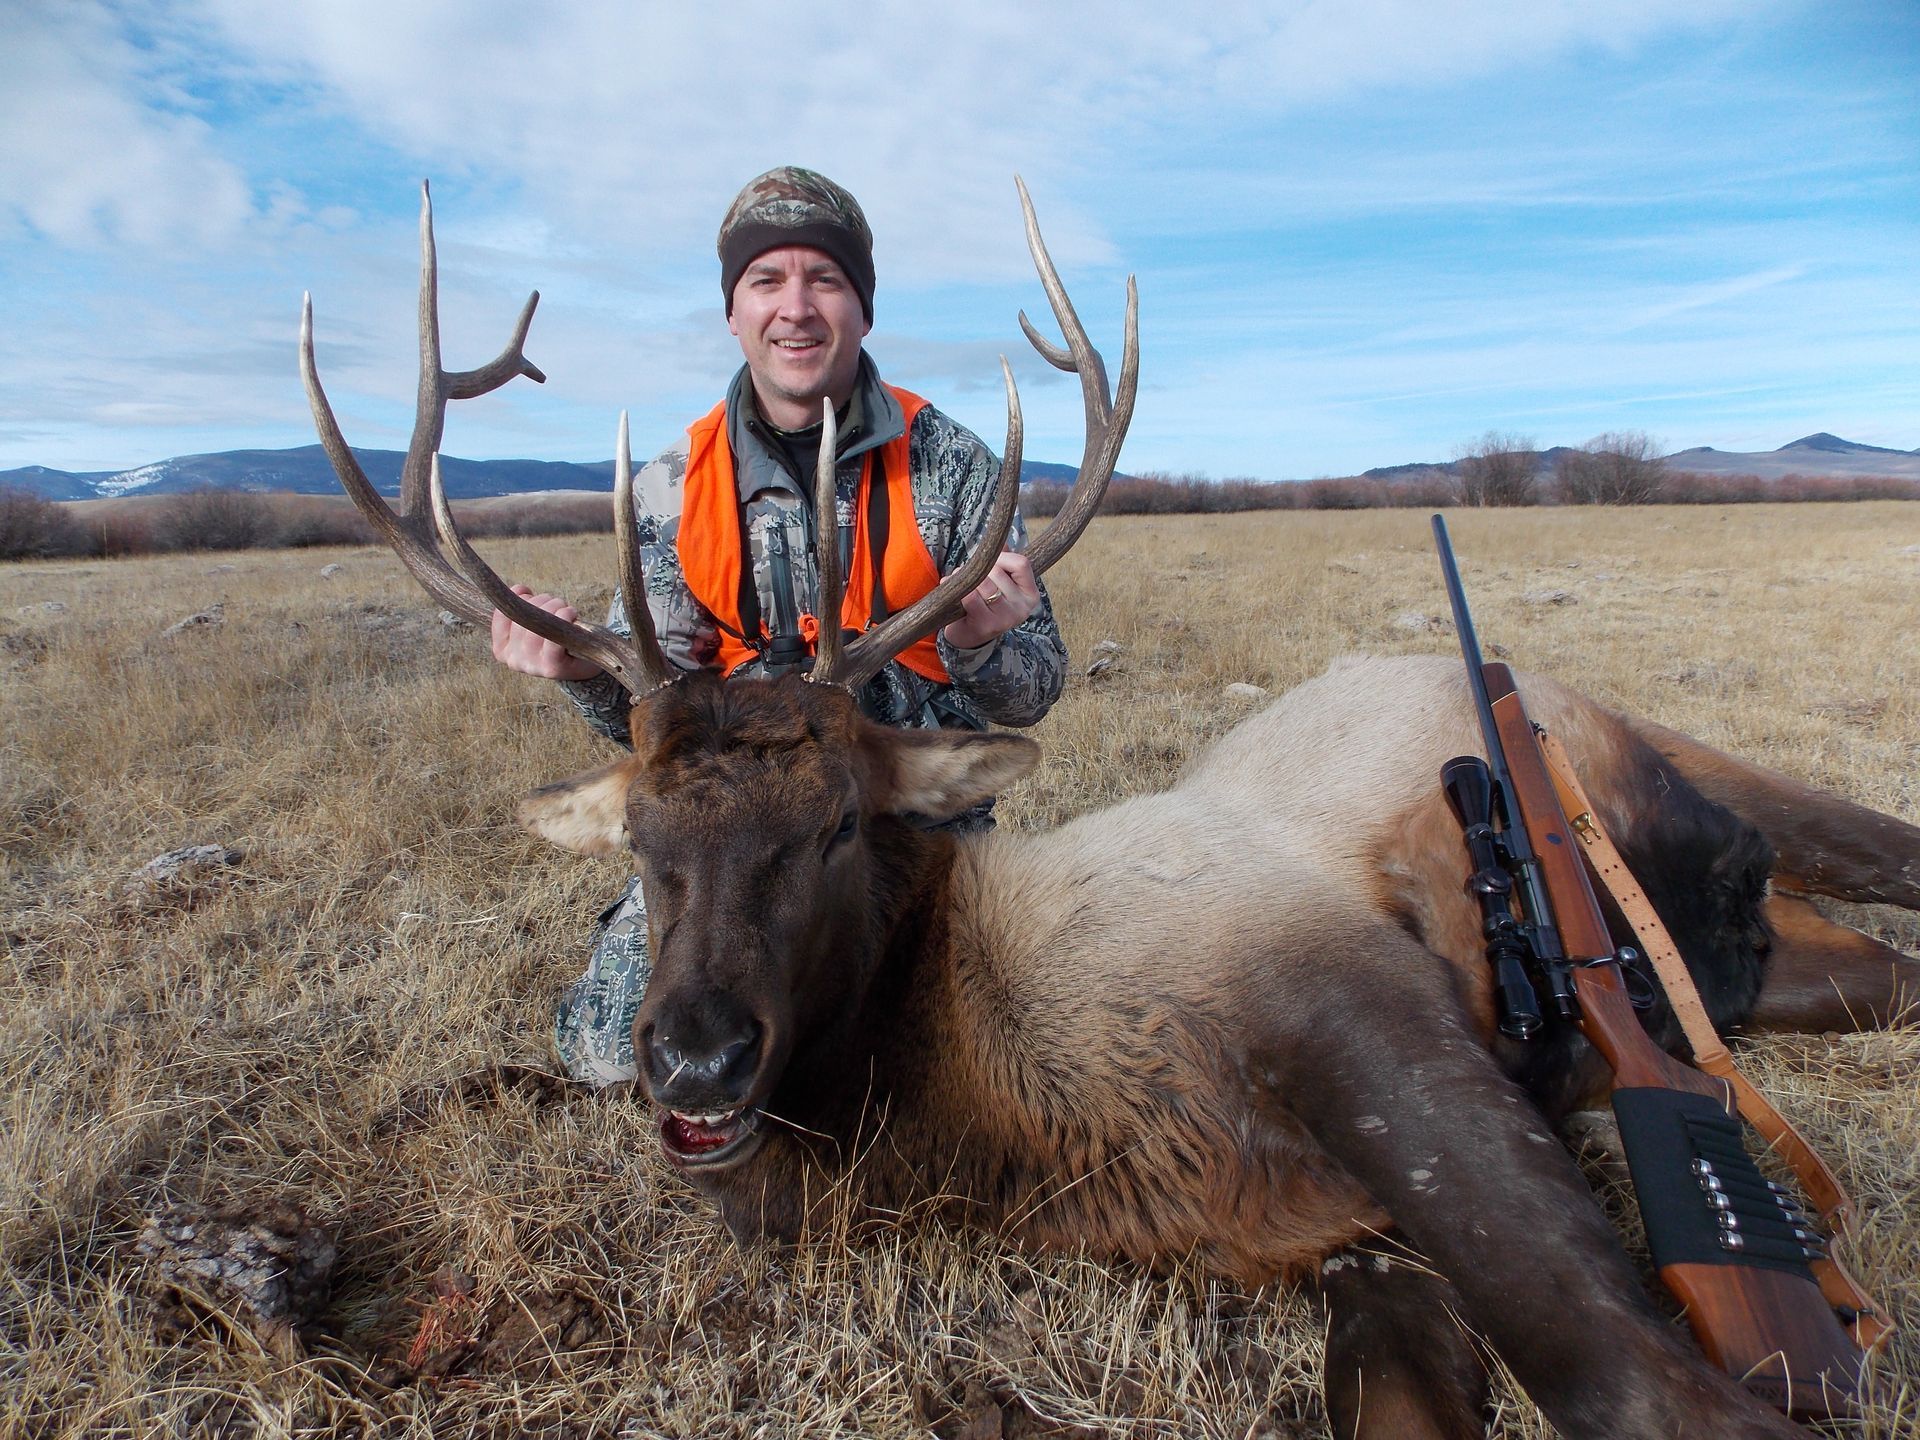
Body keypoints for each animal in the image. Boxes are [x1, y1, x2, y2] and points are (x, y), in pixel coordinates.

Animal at [301, 183, 1917, 1440]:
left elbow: (1644, 1385)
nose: (695, 1059)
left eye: (838, 822)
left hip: (1668, 761)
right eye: (642, 840)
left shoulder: (1371, 1018)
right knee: (1861, 961)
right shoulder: (1344, 1240)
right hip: (1760, 950)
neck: (1006, 1104)